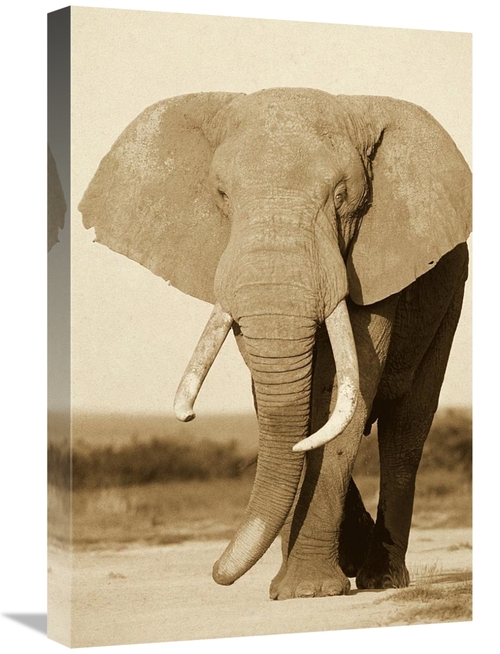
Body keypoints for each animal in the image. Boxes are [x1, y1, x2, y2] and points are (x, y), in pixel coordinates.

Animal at [79, 88, 471, 599]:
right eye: (222, 194)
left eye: (342, 197)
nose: (217, 573)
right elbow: (288, 405)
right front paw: (299, 584)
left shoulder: (375, 264)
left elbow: (340, 398)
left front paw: (307, 591)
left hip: (450, 298)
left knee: (405, 432)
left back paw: (381, 579)